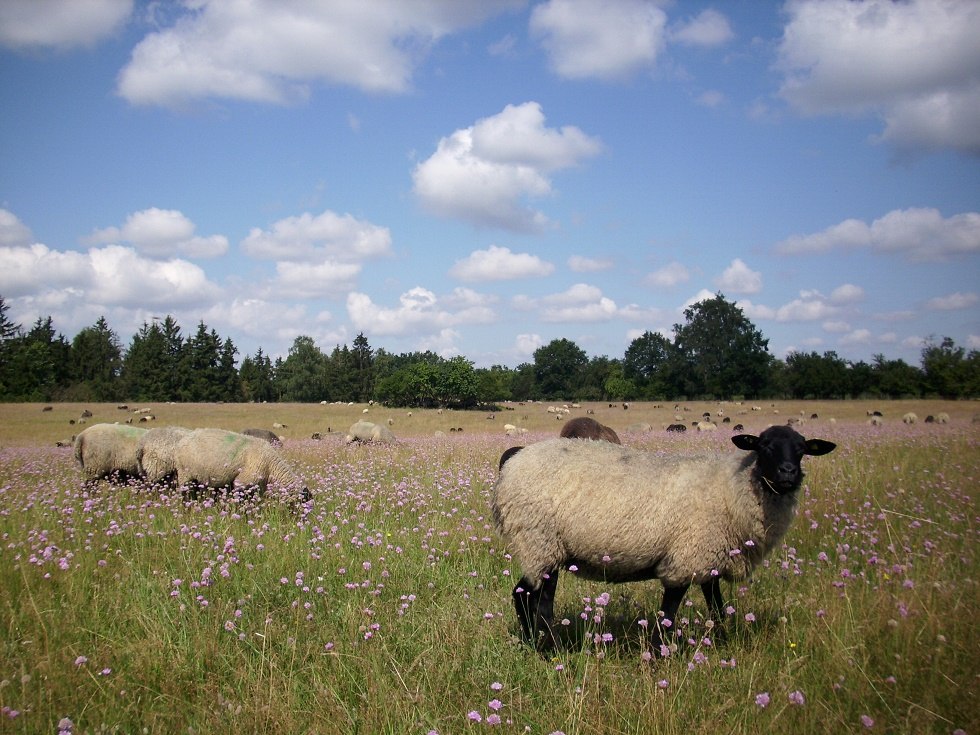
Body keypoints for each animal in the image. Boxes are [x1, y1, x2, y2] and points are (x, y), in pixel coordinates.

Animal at [172, 428, 308, 504]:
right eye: (303, 502)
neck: (271, 467)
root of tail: (181, 441)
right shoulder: (243, 482)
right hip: (185, 474)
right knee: (185, 494)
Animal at [490, 426, 836, 648]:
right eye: (763, 446)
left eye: (803, 450)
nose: (788, 473)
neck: (733, 487)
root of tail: (515, 457)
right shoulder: (685, 558)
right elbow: (668, 613)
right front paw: (659, 654)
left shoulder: (708, 556)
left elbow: (717, 607)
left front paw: (721, 642)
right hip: (541, 541)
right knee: (541, 604)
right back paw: (552, 650)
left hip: (539, 548)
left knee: (522, 594)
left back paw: (531, 643)